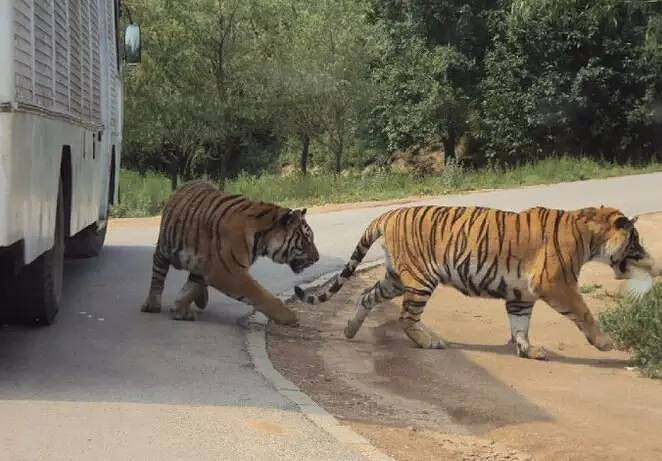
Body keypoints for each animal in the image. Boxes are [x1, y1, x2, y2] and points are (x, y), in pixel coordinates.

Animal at [141, 180, 319, 325]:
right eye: (307, 240)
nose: (317, 258)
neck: (262, 239)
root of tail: (185, 184)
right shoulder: (230, 272)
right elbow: (261, 294)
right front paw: (289, 317)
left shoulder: (212, 268)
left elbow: (190, 289)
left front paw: (179, 309)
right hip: (164, 249)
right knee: (158, 275)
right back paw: (152, 304)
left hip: (198, 261)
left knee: (194, 279)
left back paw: (200, 300)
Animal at [295, 205, 656, 359]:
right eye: (635, 239)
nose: (647, 255)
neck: (590, 238)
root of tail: (388, 214)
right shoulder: (557, 284)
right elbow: (584, 312)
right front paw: (605, 343)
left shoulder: (522, 294)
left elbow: (520, 324)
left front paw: (527, 350)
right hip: (421, 279)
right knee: (405, 317)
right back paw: (430, 342)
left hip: (396, 278)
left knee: (367, 296)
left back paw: (349, 330)